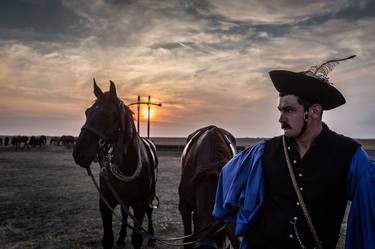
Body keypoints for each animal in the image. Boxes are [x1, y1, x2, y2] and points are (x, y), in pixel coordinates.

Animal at [72, 80, 158, 249]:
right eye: (87, 112)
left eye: (107, 114)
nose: (79, 153)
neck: (126, 166)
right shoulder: (106, 204)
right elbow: (107, 239)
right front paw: (117, 238)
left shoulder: (139, 205)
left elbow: (137, 239)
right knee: (124, 214)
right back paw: (121, 237)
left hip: (149, 196)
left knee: (149, 212)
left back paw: (151, 236)